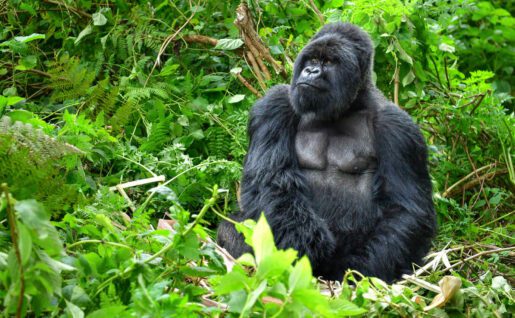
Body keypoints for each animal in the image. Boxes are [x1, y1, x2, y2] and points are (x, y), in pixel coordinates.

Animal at [218, 22, 440, 282]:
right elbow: (270, 180)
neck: (347, 107)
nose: (311, 71)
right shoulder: (274, 104)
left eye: (330, 62)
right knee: (231, 226)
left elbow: (406, 210)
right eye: (312, 59)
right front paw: (305, 242)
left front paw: (355, 269)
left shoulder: (399, 128)